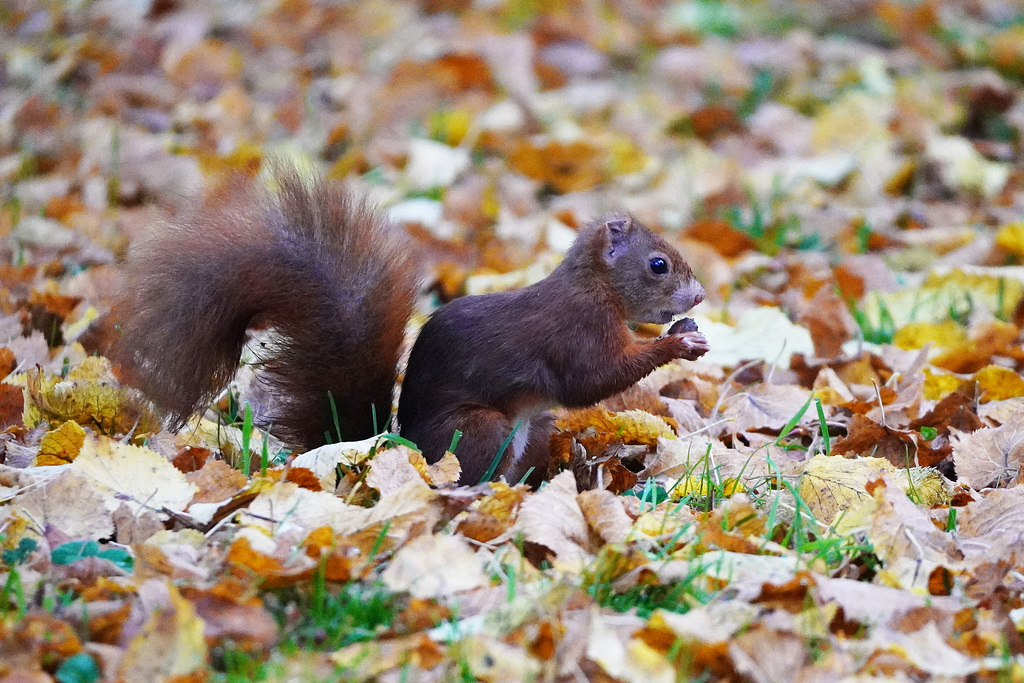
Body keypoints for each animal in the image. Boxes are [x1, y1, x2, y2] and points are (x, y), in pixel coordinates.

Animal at [112, 171, 704, 485]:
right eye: (658, 265)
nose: (698, 296)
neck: (595, 288)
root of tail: (397, 445)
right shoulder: (575, 330)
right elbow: (591, 379)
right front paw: (678, 341)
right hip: (480, 429)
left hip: (532, 429)